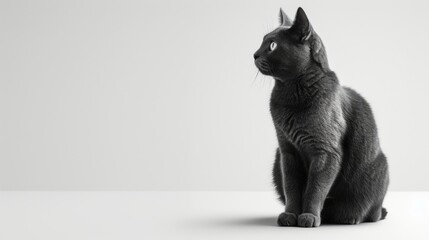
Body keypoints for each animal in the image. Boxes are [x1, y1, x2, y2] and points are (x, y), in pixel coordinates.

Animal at [252, 7, 390, 228]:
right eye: (262, 41)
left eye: (272, 45)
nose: (254, 54)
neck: (290, 94)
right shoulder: (287, 151)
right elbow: (292, 188)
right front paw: (290, 215)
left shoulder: (326, 151)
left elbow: (315, 188)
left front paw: (309, 216)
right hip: (276, 161)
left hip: (377, 168)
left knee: (371, 212)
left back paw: (350, 217)